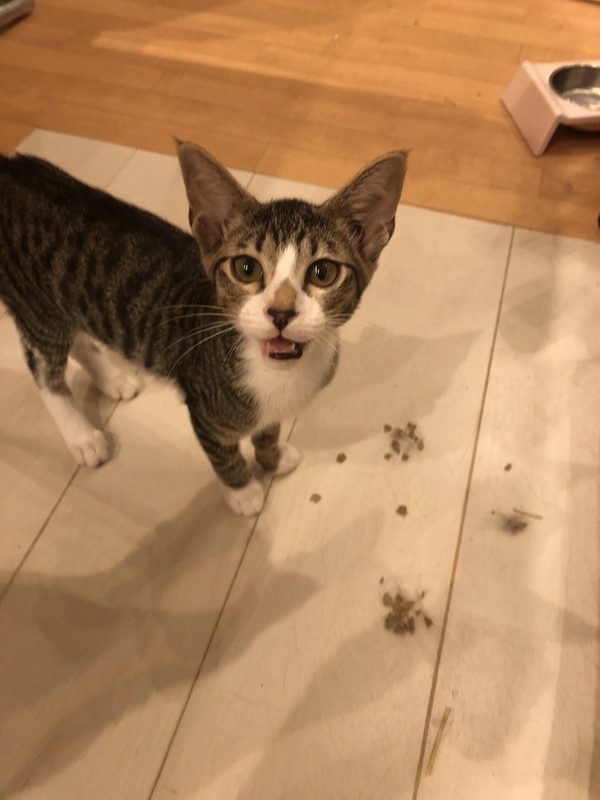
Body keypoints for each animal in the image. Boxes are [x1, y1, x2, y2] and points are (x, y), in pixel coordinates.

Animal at [0, 140, 407, 515]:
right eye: (246, 268)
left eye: (323, 273)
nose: (280, 312)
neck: (279, 374)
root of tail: (10, 169)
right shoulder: (204, 408)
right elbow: (224, 455)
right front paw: (243, 492)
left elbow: (268, 430)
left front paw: (273, 457)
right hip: (33, 302)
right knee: (42, 366)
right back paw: (81, 435)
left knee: (77, 335)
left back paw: (112, 378)